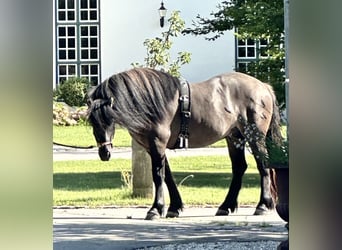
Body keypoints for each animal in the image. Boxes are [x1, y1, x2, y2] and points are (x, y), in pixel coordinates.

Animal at [86, 67, 284, 220]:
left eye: (109, 118)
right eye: (92, 121)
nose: (105, 153)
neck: (151, 102)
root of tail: (263, 87)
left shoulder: (157, 143)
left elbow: (158, 175)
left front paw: (155, 209)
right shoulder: (153, 147)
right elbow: (167, 175)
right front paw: (174, 207)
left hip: (255, 136)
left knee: (263, 166)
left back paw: (262, 205)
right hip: (234, 137)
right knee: (239, 168)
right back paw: (225, 206)